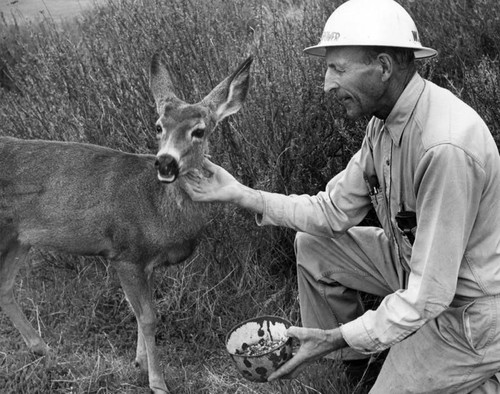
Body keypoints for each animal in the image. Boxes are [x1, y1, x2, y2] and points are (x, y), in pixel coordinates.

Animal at [0, 53, 254, 394]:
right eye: (159, 126)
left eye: (199, 131)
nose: (165, 162)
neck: (157, 208)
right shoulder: (126, 254)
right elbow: (148, 318)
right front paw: (157, 382)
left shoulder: (147, 263)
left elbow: (139, 312)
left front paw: (139, 362)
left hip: (19, 237)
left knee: (4, 285)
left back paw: (42, 348)